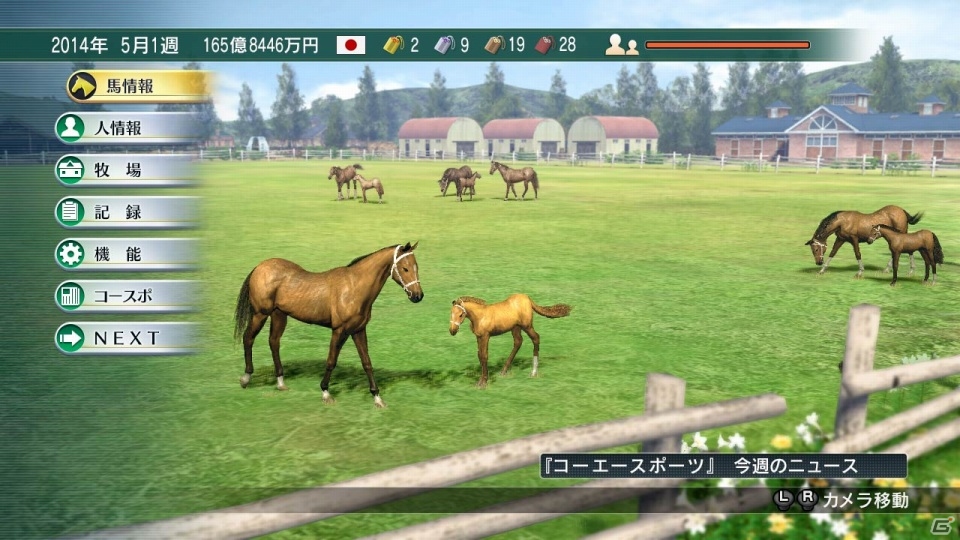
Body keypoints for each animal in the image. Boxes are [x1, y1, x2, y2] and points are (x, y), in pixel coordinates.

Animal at [233, 243, 423, 408]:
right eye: (405, 268)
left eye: (416, 267)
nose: (418, 296)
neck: (353, 288)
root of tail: (260, 267)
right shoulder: (339, 331)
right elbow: (331, 360)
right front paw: (326, 393)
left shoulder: (358, 330)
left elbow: (367, 362)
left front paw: (377, 398)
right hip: (260, 314)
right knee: (248, 338)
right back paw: (246, 378)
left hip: (279, 315)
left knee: (274, 342)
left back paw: (280, 382)